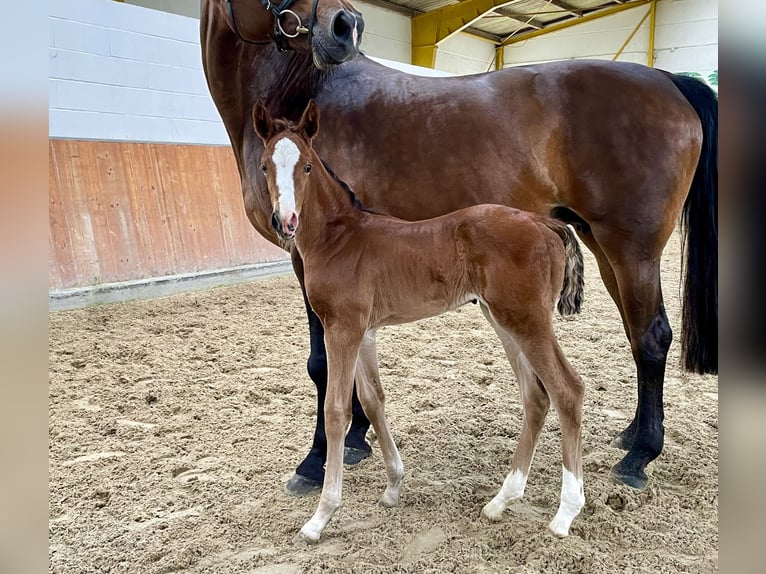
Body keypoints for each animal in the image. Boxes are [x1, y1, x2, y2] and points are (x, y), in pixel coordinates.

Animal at [200, 0, 720, 496]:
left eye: (305, 168)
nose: (345, 27)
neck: (304, 86)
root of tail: (669, 80)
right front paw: (356, 439)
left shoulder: (304, 260)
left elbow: (322, 366)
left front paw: (315, 461)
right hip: (604, 246)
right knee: (636, 334)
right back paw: (631, 435)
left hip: (632, 249)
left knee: (651, 337)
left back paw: (640, 455)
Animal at [256, 100, 588, 544]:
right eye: (264, 166)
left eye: (307, 166)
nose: (286, 221)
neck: (339, 239)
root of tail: (545, 222)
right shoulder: (364, 332)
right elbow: (373, 401)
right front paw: (394, 486)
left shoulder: (341, 329)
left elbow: (336, 411)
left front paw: (320, 517)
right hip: (503, 319)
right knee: (536, 396)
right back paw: (501, 500)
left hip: (528, 321)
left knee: (567, 390)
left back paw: (565, 513)